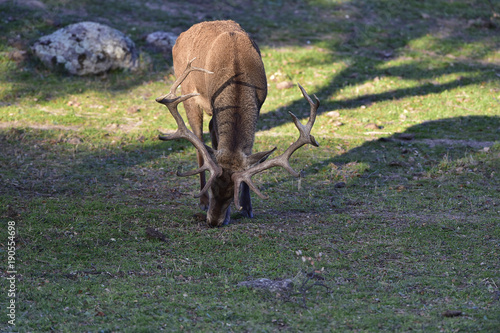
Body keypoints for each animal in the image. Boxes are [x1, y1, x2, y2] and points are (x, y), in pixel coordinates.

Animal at [157, 20, 320, 226]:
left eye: (231, 196)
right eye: (212, 188)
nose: (213, 221)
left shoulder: (259, 106)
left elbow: (248, 155)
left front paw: (248, 208)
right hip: (187, 94)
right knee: (199, 141)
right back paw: (202, 201)